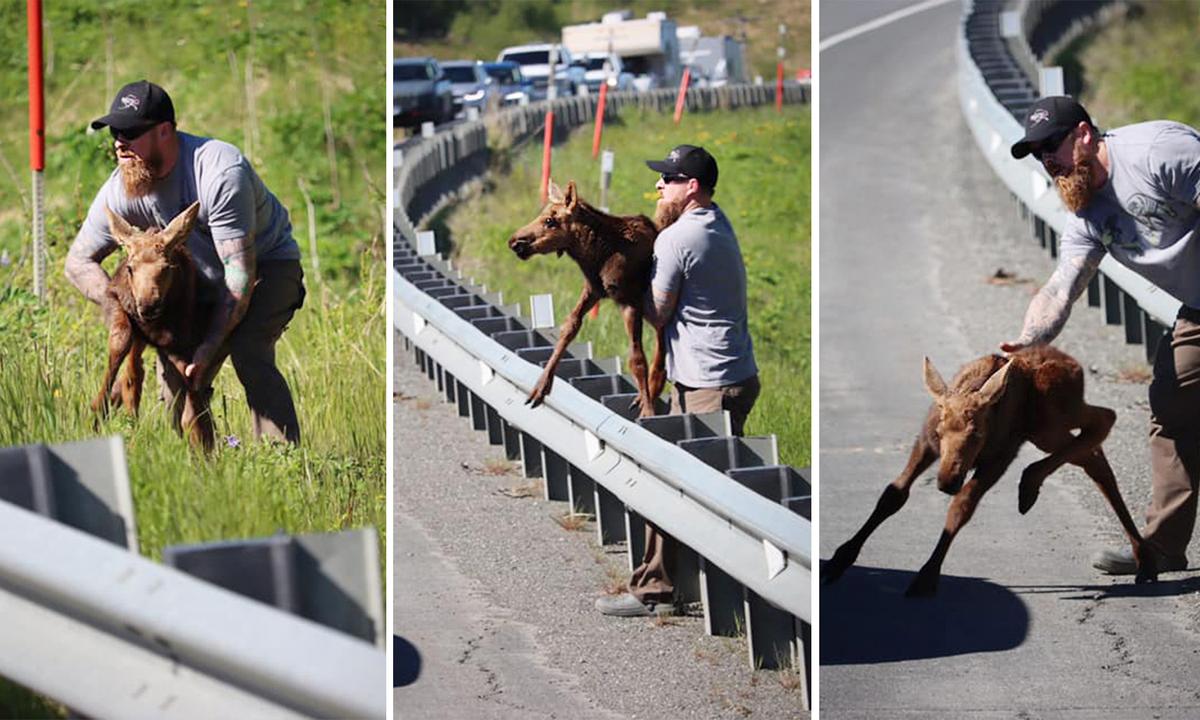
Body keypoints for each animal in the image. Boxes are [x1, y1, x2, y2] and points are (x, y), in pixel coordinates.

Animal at [92, 201, 216, 452]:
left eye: (167, 267)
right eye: (130, 268)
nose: (147, 305)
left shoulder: (181, 338)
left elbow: (188, 380)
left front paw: (199, 440)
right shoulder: (117, 302)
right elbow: (120, 343)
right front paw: (98, 412)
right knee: (133, 372)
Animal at [507, 179, 665, 417]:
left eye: (550, 220)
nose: (515, 241)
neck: (596, 256)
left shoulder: (630, 301)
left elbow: (637, 358)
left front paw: (648, 412)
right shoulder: (592, 290)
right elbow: (569, 327)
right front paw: (539, 388)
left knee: (662, 342)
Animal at [822, 345, 1155, 597]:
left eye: (977, 433)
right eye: (940, 431)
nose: (946, 481)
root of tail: (1076, 365)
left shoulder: (999, 458)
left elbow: (962, 506)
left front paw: (927, 575)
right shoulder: (926, 445)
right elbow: (893, 494)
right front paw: (838, 561)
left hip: (1047, 420)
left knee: (1104, 420)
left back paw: (1030, 484)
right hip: (1048, 427)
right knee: (1094, 454)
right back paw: (1142, 557)